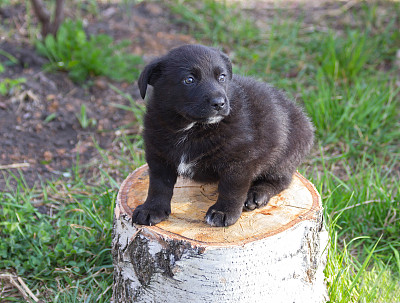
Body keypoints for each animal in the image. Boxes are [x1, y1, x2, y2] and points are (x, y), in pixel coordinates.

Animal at [133, 44, 314, 227]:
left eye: (222, 77)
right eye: (189, 80)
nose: (219, 103)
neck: (191, 128)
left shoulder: (239, 160)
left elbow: (231, 188)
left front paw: (224, 212)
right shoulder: (158, 155)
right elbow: (158, 185)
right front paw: (152, 209)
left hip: (286, 154)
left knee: (281, 180)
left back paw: (256, 195)